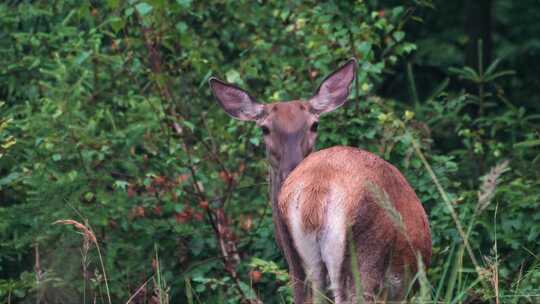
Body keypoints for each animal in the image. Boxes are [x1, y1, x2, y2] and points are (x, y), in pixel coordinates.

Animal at [209, 58, 432, 302]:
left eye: (314, 124)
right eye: (265, 128)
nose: (291, 167)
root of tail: (315, 195)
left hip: (303, 264)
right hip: (365, 259)